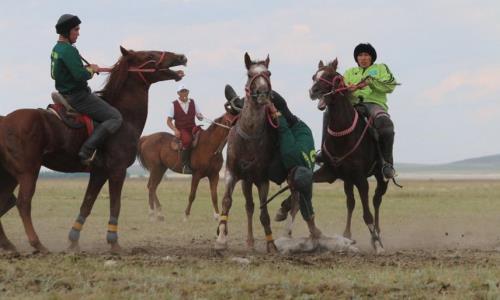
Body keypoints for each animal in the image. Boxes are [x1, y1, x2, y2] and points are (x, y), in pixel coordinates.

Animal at [0, 47, 187, 253]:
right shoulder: (117, 170)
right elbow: (115, 206)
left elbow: (86, 204)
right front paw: (114, 243)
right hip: (28, 172)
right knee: (23, 203)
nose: (181, 57)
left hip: (10, 176)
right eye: (149, 56)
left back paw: (8, 245)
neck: (125, 119)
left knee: (4, 202)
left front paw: (73, 242)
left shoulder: (99, 172)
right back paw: (37, 244)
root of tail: (4, 120)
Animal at [214, 52, 280, 252]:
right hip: (245, 181)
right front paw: (221, 239)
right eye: (250, 74)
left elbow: (264, 211)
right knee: (248, 206)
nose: (263, 93)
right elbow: (226, 202)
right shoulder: (232, 173)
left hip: (250, 181)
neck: (250, 136)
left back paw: (252, 241)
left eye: (268, 73)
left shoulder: (262, 179)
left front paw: (271, 243)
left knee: (251, 206)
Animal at [308, 58, 386, 253]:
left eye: (332, 76)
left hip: (380, 175)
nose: (313, 91)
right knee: (351, 202)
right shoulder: (332, 173)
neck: (343, 136)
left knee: (377, 200)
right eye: (314, 76)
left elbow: (367, 214)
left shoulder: (361, 179)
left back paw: (377, 237)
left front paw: (377, 244)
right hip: (348, 180)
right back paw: (348, 235)